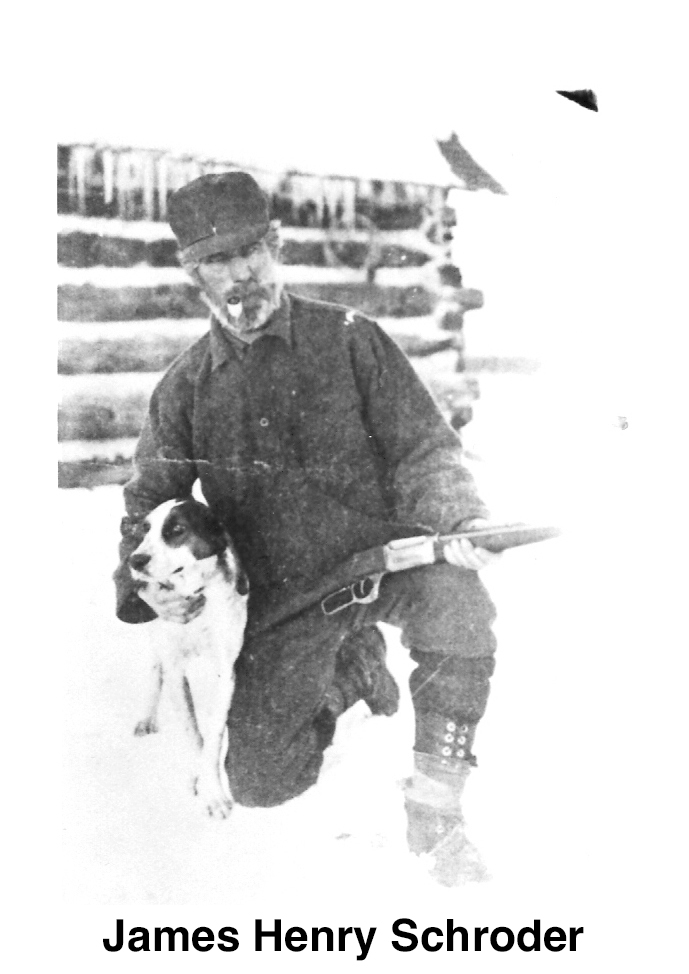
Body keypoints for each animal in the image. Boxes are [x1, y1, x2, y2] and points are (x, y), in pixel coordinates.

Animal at [127, 500, 249, 820]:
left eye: (177, 530)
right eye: (145, 530)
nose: (135, 560)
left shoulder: (224, 671)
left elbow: (213, 735)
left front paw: (213, 789)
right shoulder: (175, 670)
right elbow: (194, 735)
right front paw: (204, 785)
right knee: (155, 670)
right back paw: (147, 718)